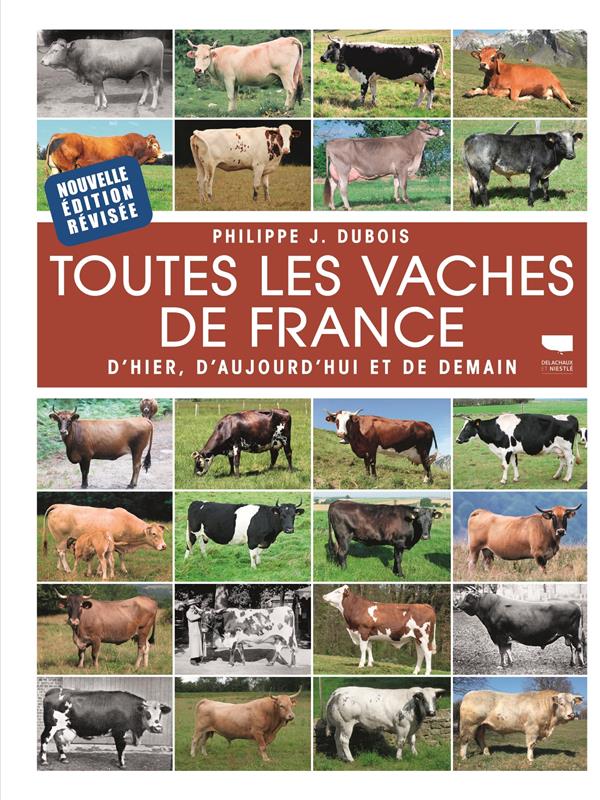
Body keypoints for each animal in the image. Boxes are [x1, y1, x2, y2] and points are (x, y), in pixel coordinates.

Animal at [39, 687, 170, 769]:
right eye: (147, 713)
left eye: (160, 714)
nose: (158, 728)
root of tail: (53, 690)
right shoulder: (119, 733)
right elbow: (120, 749)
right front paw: (122, 764)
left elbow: (122, 750)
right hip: (51, 725)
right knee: (44, 739)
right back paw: (44, 761)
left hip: (59, 728)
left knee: (58, 741)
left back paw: (63, 758)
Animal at [454, 587, 586, 669]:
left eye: (468, 598)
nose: (457, 605)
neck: (491, 607)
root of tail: (574, 603)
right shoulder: (504, 636)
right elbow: (508, 650)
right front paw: (510, 663)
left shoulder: (500, 635)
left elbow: (502, 651)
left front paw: (502, 665)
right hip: (568, 635)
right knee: (573, 648)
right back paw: (572, 663)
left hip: (573, 633)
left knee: (578, 647)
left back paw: (581, 664)